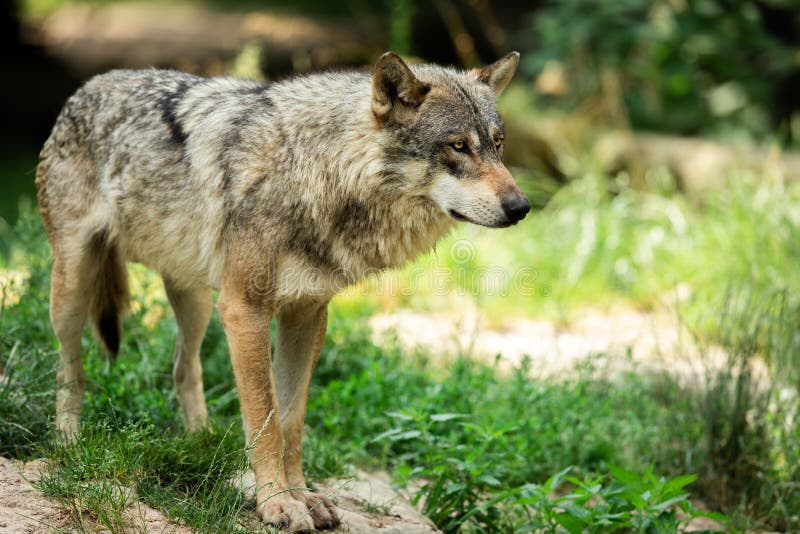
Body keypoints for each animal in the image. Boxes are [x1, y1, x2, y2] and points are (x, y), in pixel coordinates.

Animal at [34, 51, 528, 532]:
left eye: (499, 144)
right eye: (458, 145)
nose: (521, 207)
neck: (314, 170)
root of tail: (90, 85)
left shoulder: (306, 315)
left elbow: (291, 422)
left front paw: (302, 496)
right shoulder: (245, 310)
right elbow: (265, 420)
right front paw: (276, 504)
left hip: (196, 303)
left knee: (182, 367)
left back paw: (201, 443)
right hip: (73, 290)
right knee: (70, 368)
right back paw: (69, 442)